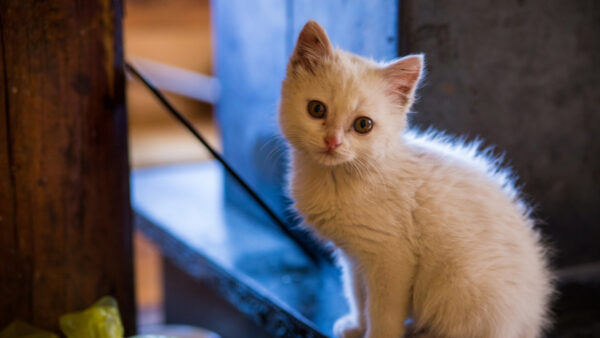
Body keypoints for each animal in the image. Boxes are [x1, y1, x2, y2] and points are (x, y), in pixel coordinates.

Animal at [278, 21, 556, 338]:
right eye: (316, 109)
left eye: (363, 125)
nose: (332, 141)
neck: (338, 177)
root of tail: (529, 324)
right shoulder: (354, 257)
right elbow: (358, 294)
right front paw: (357, 326)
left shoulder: (391, 258)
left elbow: (382, 313)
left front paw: (375, 334)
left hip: (465, 290)